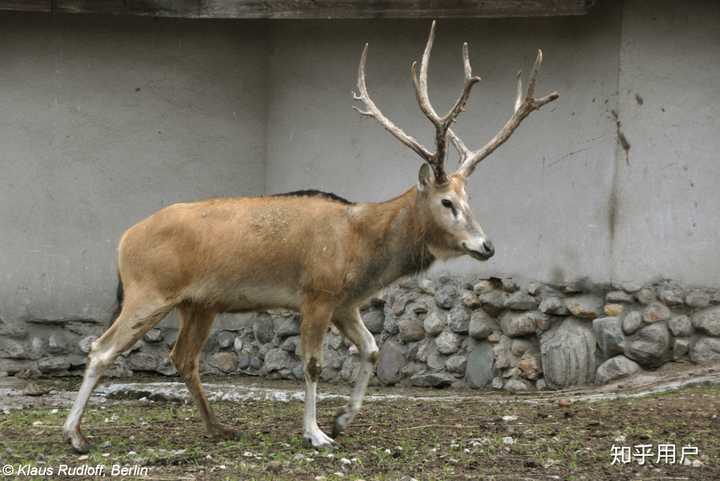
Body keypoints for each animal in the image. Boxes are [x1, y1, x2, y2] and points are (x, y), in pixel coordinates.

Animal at [63, 21, 558, 452]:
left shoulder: (345, 302)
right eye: (447, 202)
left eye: (469, 197)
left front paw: (341, 421)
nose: (485, 246)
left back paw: (219, 428)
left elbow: (373, 349)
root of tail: (123, 241)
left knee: (181, 356)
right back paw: (76, 436)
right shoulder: (317, 293)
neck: (361, 249)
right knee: (101, 349)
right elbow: (314, 364)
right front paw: (315, 434)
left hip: (199, 303)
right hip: (149, 291)